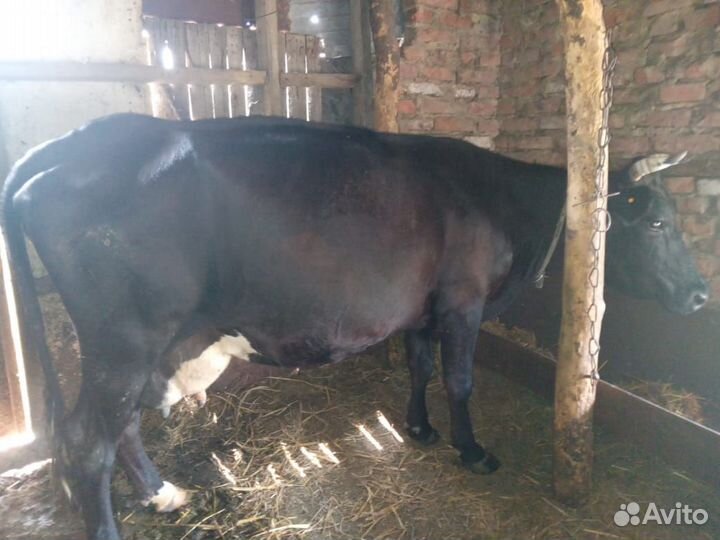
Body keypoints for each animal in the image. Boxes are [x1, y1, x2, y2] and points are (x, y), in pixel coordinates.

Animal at [1, 114, 708, 540]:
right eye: (656, 222)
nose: (702, 294)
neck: (502, 204)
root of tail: (84, 137)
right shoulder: (463, 302)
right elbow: (459, 379)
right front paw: (473, 451)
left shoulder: (425, 308)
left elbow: (421, 366)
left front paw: (420, 430)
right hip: (125, 339)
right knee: (87, 441)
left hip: (137, 348)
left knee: (117, 427)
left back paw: (165, 495)